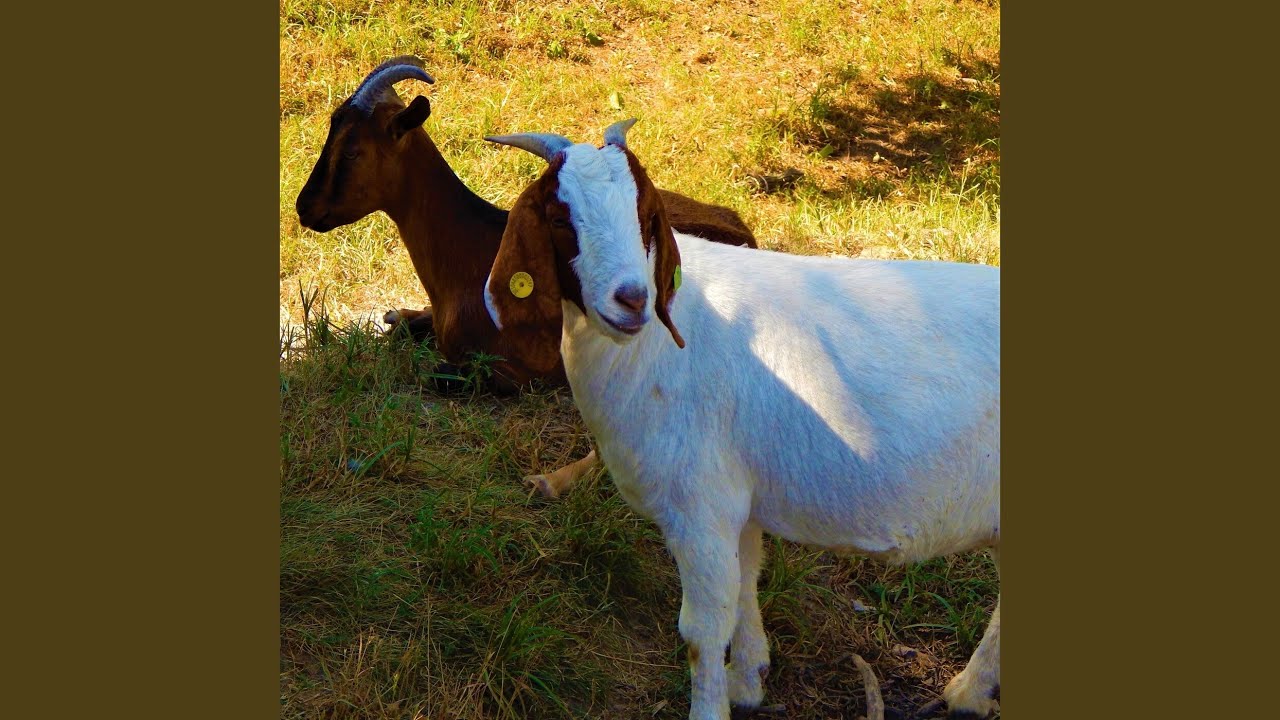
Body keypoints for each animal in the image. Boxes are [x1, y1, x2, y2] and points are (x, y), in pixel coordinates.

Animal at [294, 57, 759, 497]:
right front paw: (400, 316)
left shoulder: (514, 373)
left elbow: (437, 375)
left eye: (351, 151)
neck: (470, 251)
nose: (304, 207)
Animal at [482, 121, 1000, 720]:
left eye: (645, 215)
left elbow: (701, 632)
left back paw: (967, 692)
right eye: (561, 219)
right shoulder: (740, 503)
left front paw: (712, 704)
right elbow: (746, 586)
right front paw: (748, 681)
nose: (632, 299)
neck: (659, 343)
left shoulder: (699, 506)